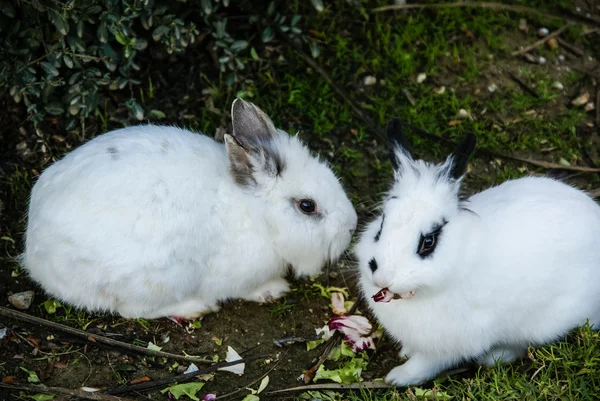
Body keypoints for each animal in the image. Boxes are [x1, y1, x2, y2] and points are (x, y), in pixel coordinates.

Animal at [22, 98, 356, 318]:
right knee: (134, 311)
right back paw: (196, 307)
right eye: (307, 206)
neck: (257, 215)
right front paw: (273, 290)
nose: (352, 226)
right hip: (157, 279)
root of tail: (35, 257)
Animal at [356, 118, 600, 384]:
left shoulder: (451, 344)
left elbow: (425, 364)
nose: (382, 278)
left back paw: (494, 357)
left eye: (428, 241)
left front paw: (398, 377)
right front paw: (405, 351)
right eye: (381, 227)